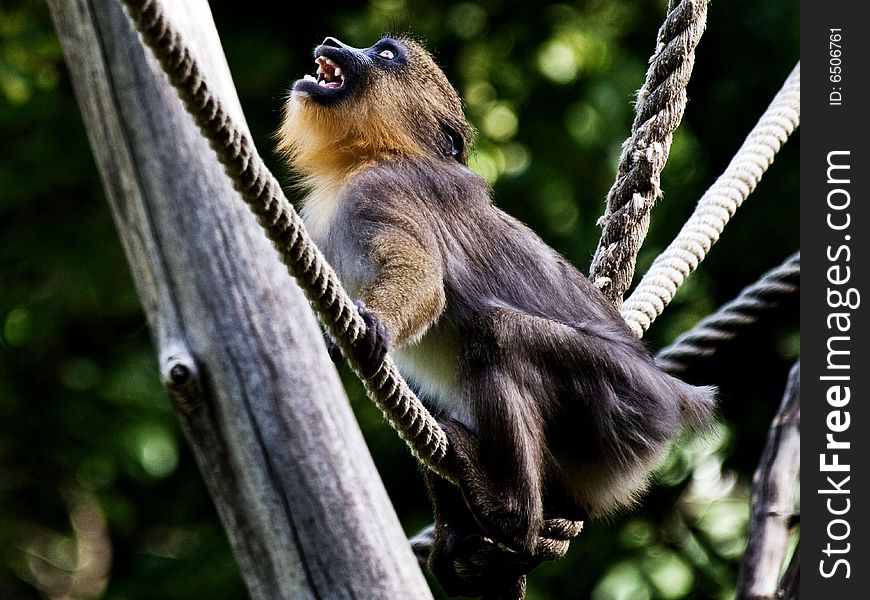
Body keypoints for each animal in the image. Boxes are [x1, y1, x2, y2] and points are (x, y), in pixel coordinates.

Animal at [278, 36, 716, 596]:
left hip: (624, 403)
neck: (369, 156)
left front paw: (374, 323)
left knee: (498, 334)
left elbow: (425, 283)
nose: (334, 43)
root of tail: (673, 396)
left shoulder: (384, 190)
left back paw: (510, 512)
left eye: (386, 54)